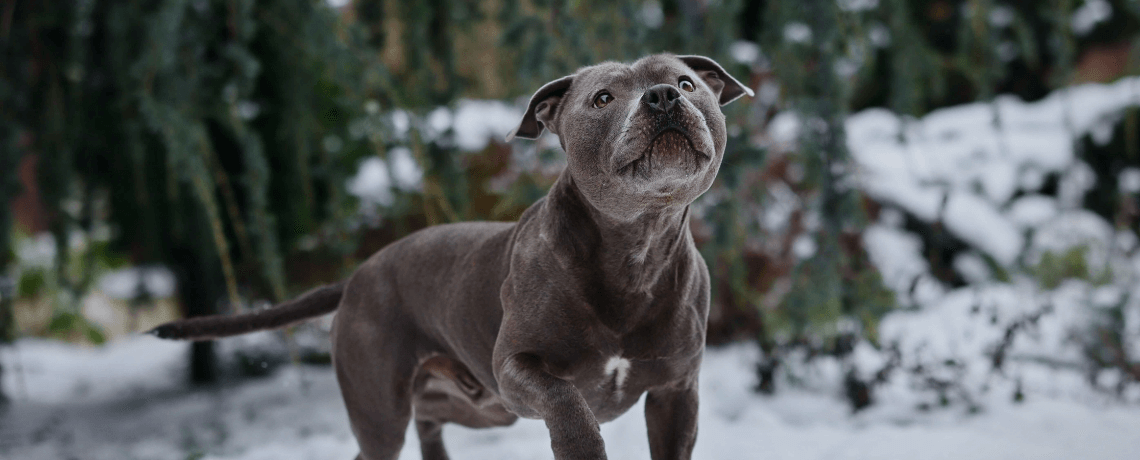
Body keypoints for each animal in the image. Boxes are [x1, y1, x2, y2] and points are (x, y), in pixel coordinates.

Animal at [153, 52, 756, 457]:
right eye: (603, 98)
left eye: (686, 82)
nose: (663, 96)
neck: (635, 247)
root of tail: (358, 275)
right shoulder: (515, 368)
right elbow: (566, 400)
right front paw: (582, 449)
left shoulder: (677, 392)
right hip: (387, 411)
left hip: (479, 406)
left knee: (430, 418)